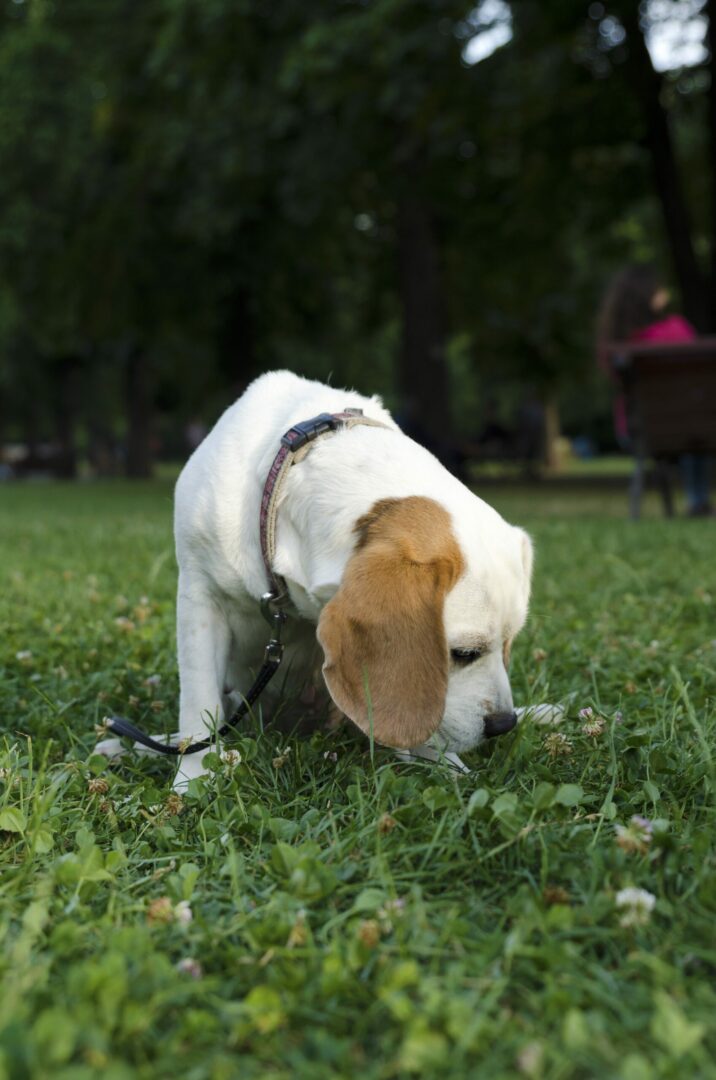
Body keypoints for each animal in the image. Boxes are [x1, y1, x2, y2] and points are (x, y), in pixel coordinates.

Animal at [96, 375, 531, 790]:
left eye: (509, 644)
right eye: (463, 653)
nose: (504, 725)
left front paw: (445, 766)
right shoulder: (201, 597)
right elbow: (199, 708)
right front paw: (193, 780)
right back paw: (130, 747)